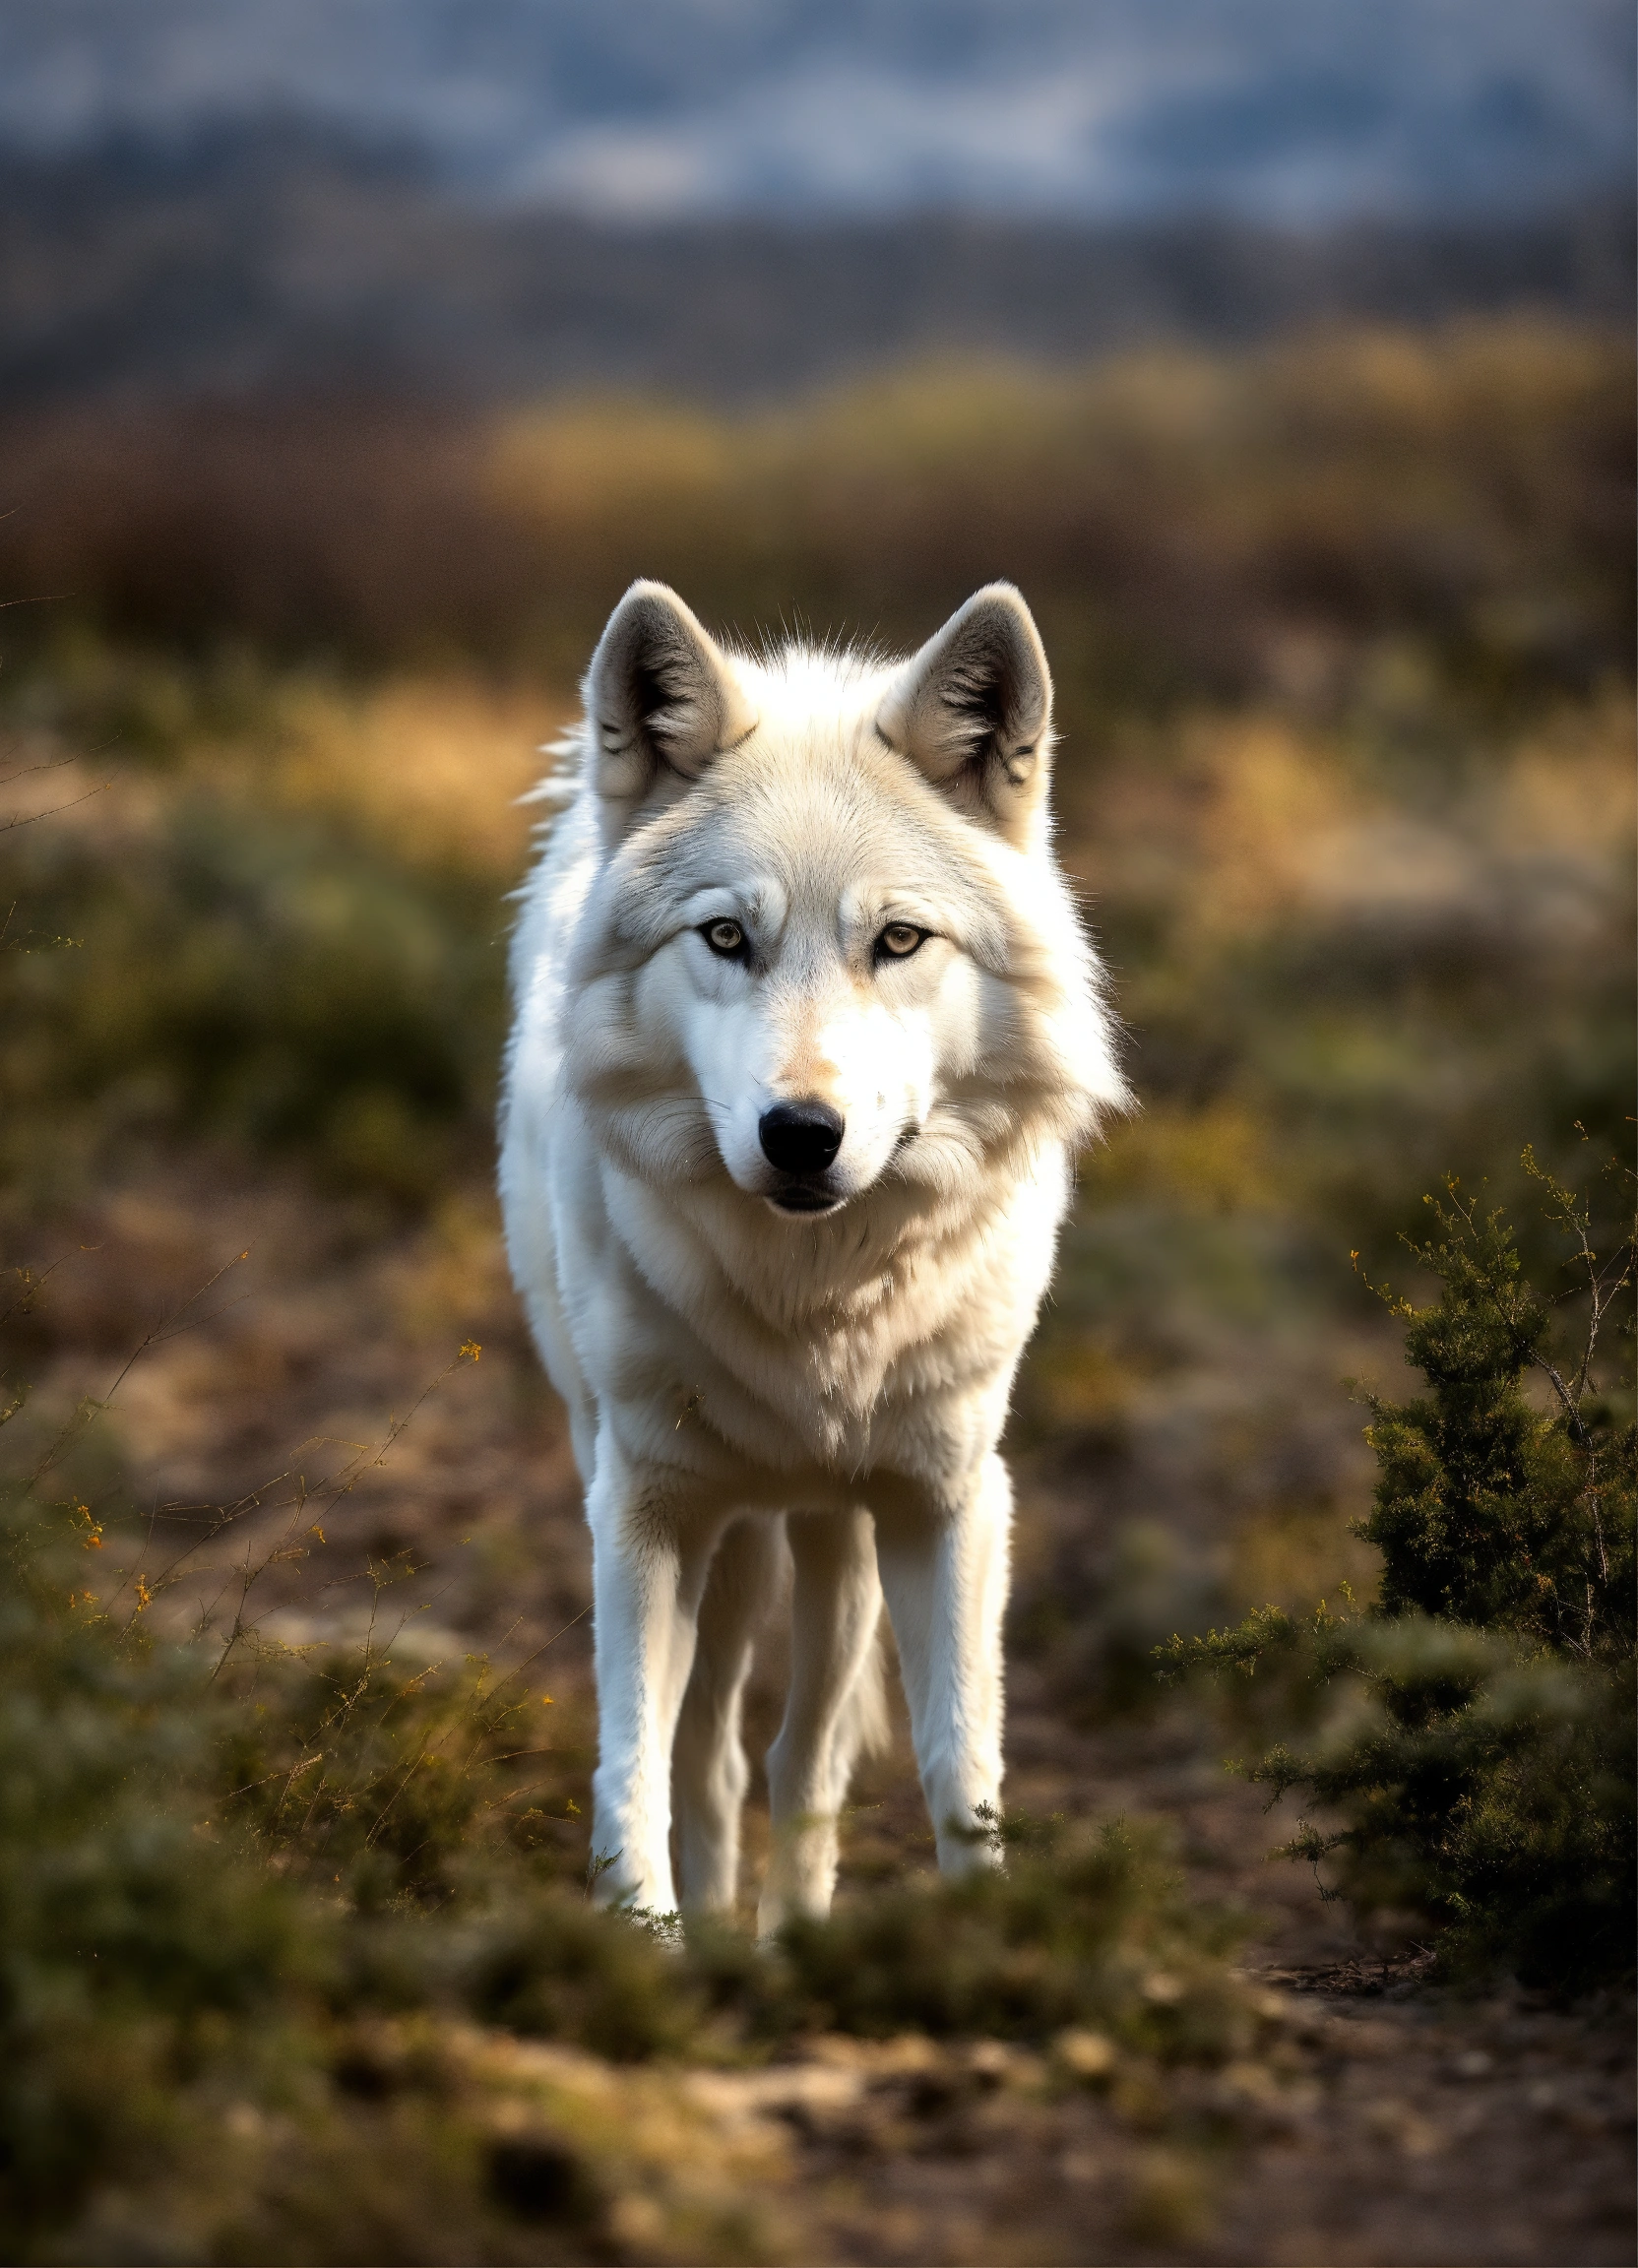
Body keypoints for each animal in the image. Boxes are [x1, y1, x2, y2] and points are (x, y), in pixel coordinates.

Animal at [499, 579, 1126, 1929]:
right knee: (718, 1752)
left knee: (807, 1751)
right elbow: (634, 1763)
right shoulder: (641, 1506)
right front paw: (649, 1940)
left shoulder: (950, 1499)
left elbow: (959, 1765)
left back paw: (792, 1928)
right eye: (725, 937)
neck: (817, 1301)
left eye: (896, 940)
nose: (800, 1134)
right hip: (700, 1512)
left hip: (842, 1530)